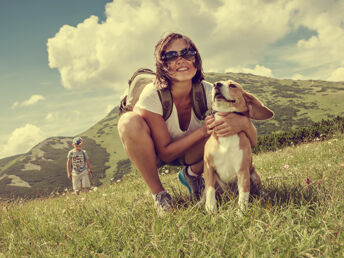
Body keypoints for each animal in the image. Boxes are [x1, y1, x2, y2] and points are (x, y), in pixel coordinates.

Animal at [203, 80, 272, 214]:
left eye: (232, 85)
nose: (216, 84)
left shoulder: (243, 170)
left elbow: (244, 194)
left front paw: (241, 213)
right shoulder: (208, 168)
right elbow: (210, 190)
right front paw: (211, 209)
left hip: (253, 174)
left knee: (259, 188)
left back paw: (264, 195)